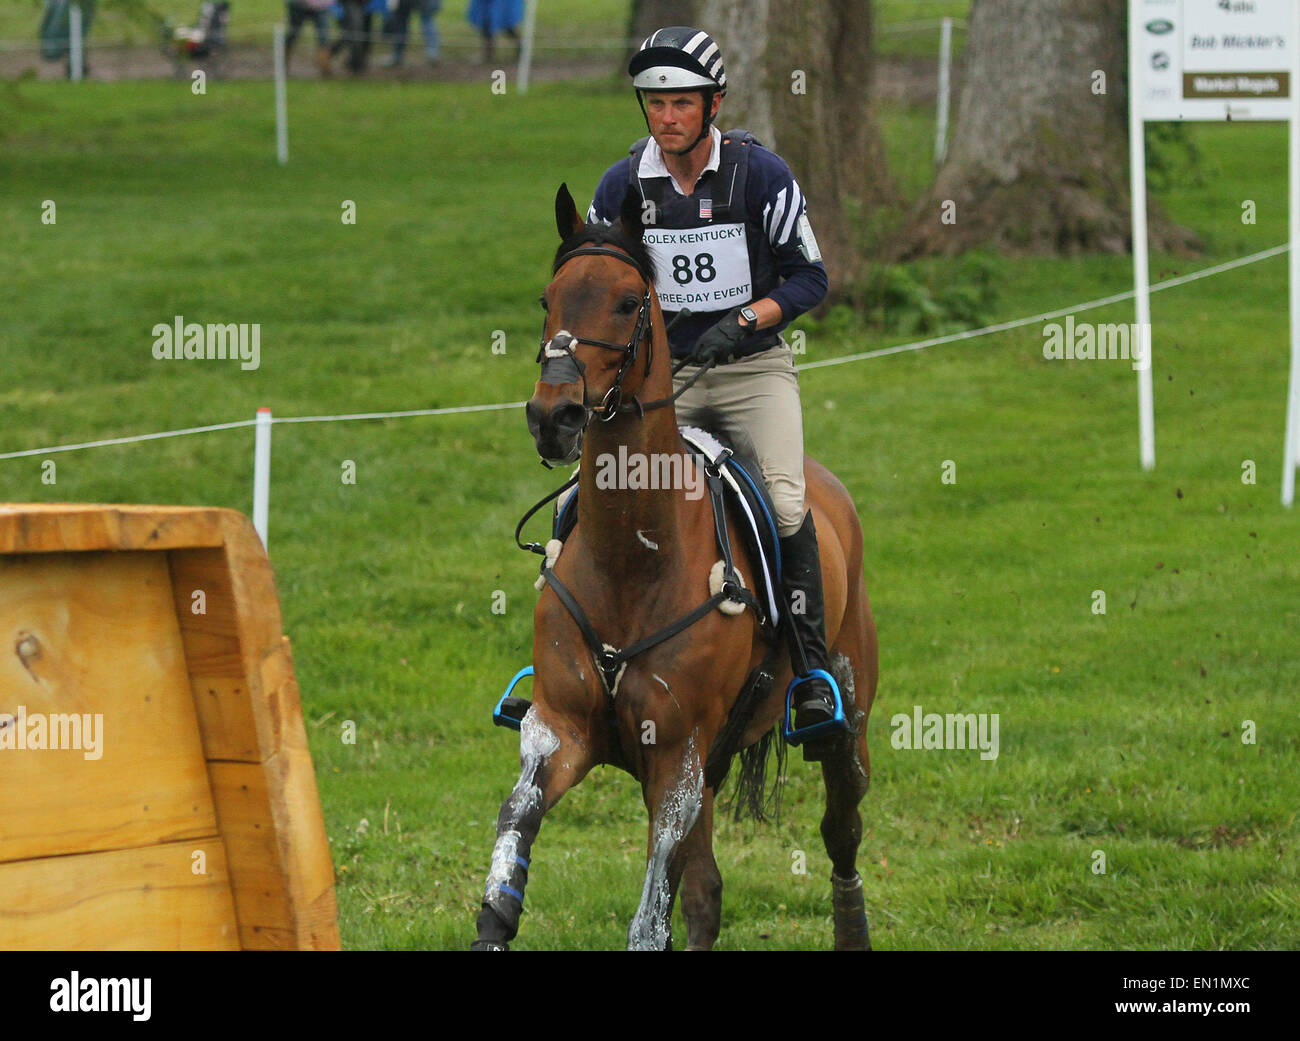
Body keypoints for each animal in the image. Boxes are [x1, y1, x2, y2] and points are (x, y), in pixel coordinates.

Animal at [473, 184, 878, 951]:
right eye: (549, 299)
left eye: (629, 301)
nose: (553, 417)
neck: (633, 557)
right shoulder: (560, 733)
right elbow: (513, 833)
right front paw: (495, 916)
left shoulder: (677, 759)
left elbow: (648, 918)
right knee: (707, 893)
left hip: (845, 715)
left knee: (842, 831)